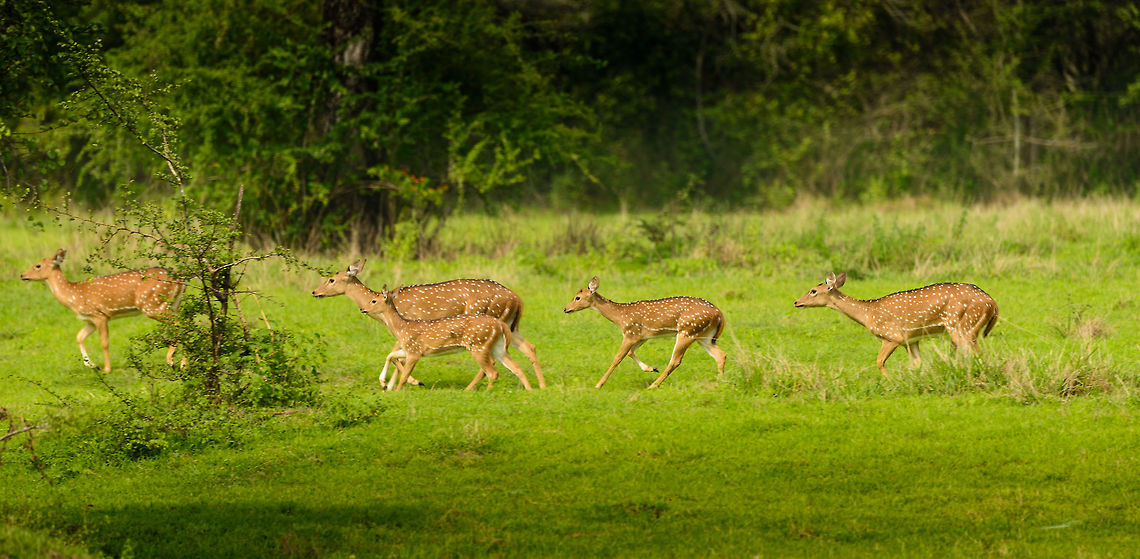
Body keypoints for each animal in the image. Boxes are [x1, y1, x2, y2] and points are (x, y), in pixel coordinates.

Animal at [20, 248, 185, 373]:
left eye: (38, 265)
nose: (22, 275)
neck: (74, 296)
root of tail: (180, 279)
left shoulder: (100, 315)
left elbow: (104, 342)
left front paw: (106, 369)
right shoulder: (90, 319)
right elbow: (79, 337)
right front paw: (93, 365)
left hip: (152, 305)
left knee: (179, 324)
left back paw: (172, 361)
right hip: (172, 304)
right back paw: (182, 363)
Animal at [359, 286, 533, 391]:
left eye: (374, 300)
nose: (362, 309)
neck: (402, 328)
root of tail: (500, 325)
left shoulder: (415, 351)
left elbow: (403, 375)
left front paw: (396, 390)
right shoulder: (410, 350)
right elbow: (391, 356)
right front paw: (385, 384)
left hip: (479, 345)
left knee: (492, 371)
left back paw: (485, 391)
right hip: (498, 346)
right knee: (516, 366)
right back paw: (530, 390)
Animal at [563, 276, 727, 389]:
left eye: (577, 297)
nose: (565, 308)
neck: (620, 317)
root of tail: (719, 313)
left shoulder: (630, 333)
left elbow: (617, 358)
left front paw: (598, 385)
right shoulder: (642, 337)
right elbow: (630, 353)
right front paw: (651, 368)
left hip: (687, 331)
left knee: (675, 360)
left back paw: (653, 386)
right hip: (704, 335)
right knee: (721, 355)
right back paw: (719, 382)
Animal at [794, 272, 998, 377]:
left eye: (813, 290)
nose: (796, 302)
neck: (868, 314)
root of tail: (992, 303)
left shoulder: (893, 336)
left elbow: (879, 361)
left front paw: (889, 381)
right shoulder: (911, 340)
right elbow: (917, 364)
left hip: (962, 325)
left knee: (976, 353)